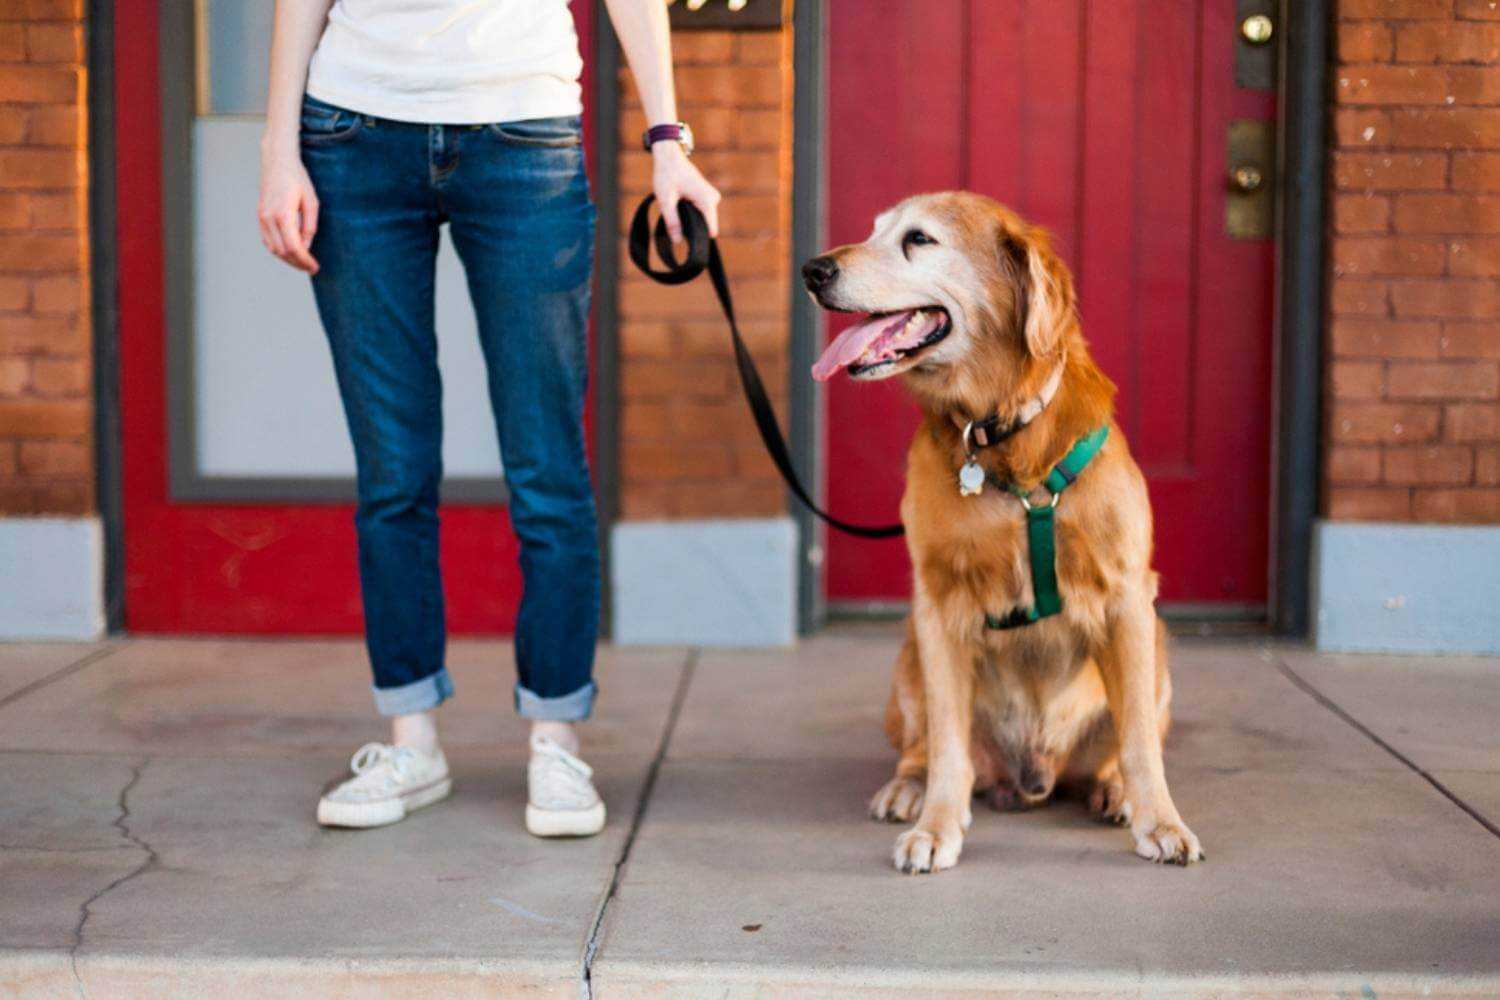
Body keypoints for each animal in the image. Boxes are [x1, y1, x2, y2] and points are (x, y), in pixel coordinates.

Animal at [804, 191, 1200, 869]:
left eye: (919, 239)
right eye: (874, 232)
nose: (812, 271)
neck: (998, 434)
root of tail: (1034, 774)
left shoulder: (1127, 598)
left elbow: (1141, 742)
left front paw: (1161, 820)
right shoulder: (937, 605)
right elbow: (947, 744)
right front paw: (937, 827)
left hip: (1158, 646)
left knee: (1122, 741)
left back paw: (1113, 789)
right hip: (907, 652)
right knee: (927, 748)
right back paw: (909, 789)